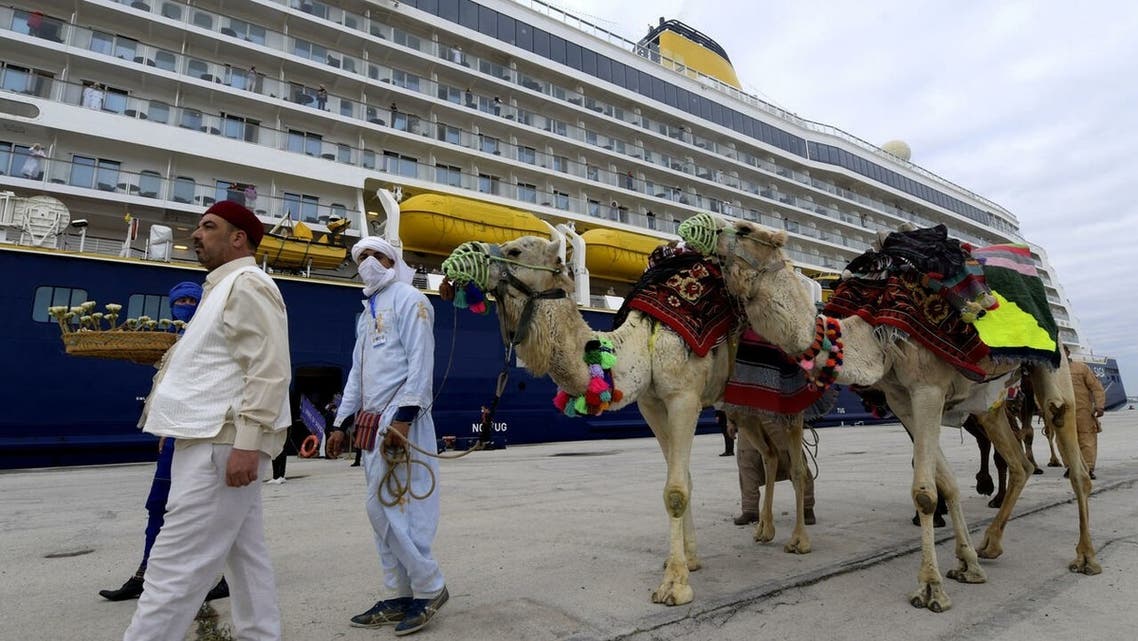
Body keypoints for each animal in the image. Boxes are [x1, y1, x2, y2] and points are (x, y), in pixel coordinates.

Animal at [439, 236, 732, 605]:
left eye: (515, 251)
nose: (461, 256)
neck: (642, 342)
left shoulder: (684, 396)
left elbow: (676, 490)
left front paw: (674, 585)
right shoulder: (652, 404)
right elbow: (685, 481)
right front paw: (689, 562)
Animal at [696, 219, 1097, 610]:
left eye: (745, 229)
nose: (703, 230)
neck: (872, 337)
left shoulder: (927, 388)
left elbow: (925, 491)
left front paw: (931, 587)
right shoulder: (901, 400)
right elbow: (946, 483)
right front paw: (967, 564)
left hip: (1053, 364)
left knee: (1067, 440)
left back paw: (1086, 556)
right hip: (990, 402)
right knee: (1018, 463)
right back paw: (991, 544)